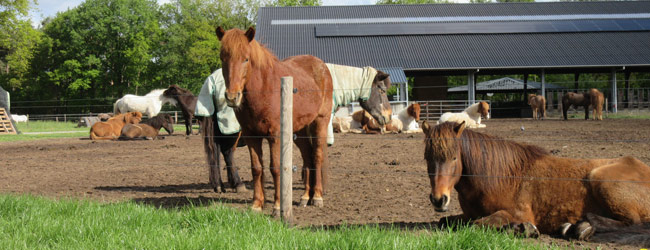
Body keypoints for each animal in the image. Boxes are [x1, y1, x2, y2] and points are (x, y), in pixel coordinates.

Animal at [216, 26, 390, 213]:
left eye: (246, 59)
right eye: (222, 58)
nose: (232, 97)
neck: (264, 89)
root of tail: (322, 66)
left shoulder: (275, 136)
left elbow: (275, 168)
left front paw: (277, 206)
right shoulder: (251, 137)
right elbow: (257, 168)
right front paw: (257, 205)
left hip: (319, 122)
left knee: (317, 156)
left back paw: (317, 197)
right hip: (299, 130)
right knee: (307, 157)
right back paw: (306, 197)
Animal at [420, 121, 648, 242]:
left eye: (454, 158)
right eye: (427, 158)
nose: (439, 199)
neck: (502, 177)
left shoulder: (517, 213)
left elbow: (479, 224)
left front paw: (524, 228)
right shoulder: (466, 215)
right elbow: (447, 221)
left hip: (600, 178)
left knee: (633, 223)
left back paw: (582, 227)